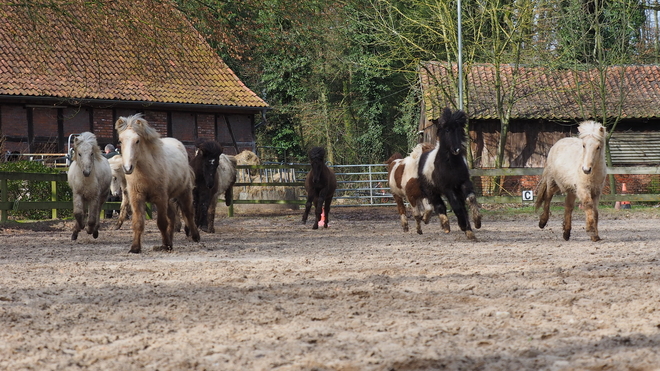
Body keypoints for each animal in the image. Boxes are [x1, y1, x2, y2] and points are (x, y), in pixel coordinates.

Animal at [114, 113, 200, 253]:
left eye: (137, 141)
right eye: (120, 141)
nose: (127, 168)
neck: (147, 172)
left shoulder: (160, 198)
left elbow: (162, 223)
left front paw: (166, 244)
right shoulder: (137, 198)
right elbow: (138, 223)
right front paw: (135, 247)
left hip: (184, 192)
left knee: (188, 212)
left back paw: (195, 236)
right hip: (169, 198)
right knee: (172, 216)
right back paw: (170, 239)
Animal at [420, 107, 482, 241]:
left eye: (459, 130)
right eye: (447, 130)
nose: (456, 149)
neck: (451, 165)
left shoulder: (463, 182)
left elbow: (470, 198)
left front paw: (477, 222)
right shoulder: (447, 188)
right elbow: (456, 206)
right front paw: (463, 226)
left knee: (461, 207)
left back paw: (469, 231)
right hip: (432, 191)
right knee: (439, 206)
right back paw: (446, 226)